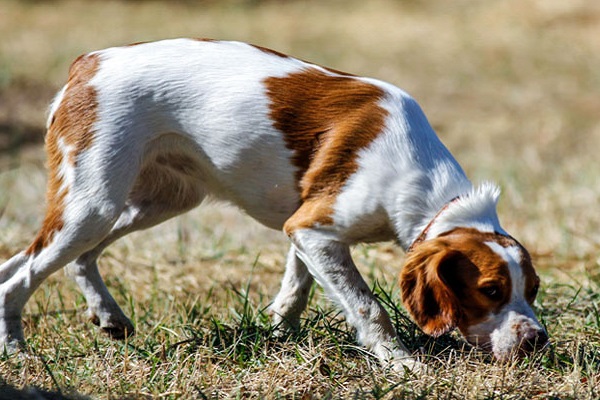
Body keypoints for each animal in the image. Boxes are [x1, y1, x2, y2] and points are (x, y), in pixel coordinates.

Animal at [0, 39, 548, 370]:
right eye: (491, 291)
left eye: (533, 290)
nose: (536, 340)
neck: (426, 185)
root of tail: (89, 62)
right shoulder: (316, 228)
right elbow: (368, 306)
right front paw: (400, 362)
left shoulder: (304, 227)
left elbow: (297, 287)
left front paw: (282, 332)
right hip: (93, 202)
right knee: (19, 275)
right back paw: (18, 354)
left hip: (157, 200)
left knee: (67, 260)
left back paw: (107, 315)